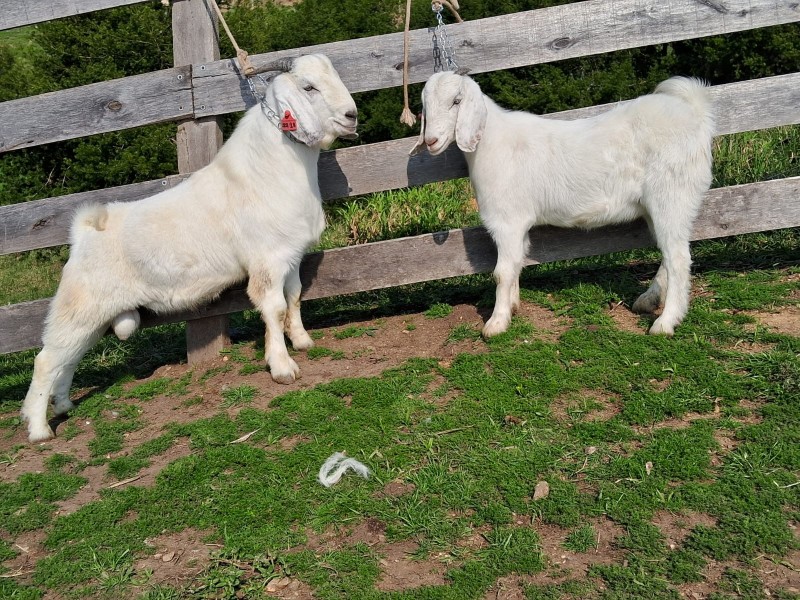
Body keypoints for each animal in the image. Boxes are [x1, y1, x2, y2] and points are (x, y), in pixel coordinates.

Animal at [20, 54, 358, 442]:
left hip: (93, 317)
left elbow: (294, 298)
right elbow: (273, 309)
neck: (267, 171)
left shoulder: (289, 256)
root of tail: (85, 232)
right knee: (46, 360)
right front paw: (283, 367)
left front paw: (302, 341)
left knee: (70, 358)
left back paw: (64, 405)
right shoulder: (267, 260)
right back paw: (39, 429)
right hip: (79, 306)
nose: (351, 115)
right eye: (309, 87)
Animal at [412, 71, 712, 338]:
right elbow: (517, 262)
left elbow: (502, 272)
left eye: (457, 101)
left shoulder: (507, 220)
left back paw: (665, 322)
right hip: (657, 205)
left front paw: (496, 323)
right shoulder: (518, 225)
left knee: (678, 258)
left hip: (671, 195)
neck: (492, 144)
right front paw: (512, 305)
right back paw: (648, 300)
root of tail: (695, 114)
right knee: (669, 253)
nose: (431, 141)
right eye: (425, 106)